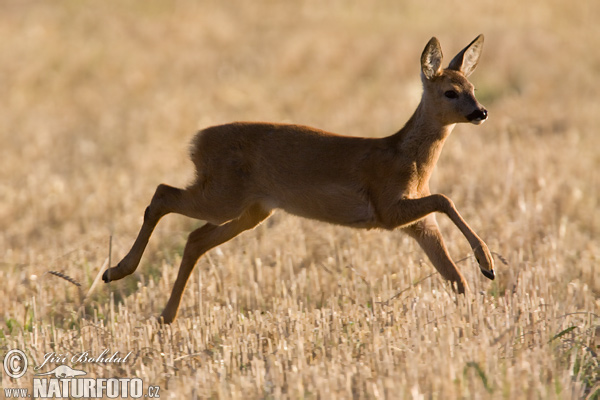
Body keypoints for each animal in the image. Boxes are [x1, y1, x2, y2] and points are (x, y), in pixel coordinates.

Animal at [104, 32, 496, 324]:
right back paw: (116, 271)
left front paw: (480, 293)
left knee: (194, 238)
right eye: (450, 92)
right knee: (162, 194)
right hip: (222, 196)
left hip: (252, 210)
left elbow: (454, 277)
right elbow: (446, 199)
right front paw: (488, 263)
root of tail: (196, 142)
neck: (407, 160)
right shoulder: (388, 208)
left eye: (473, 87)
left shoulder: (417, 224)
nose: (481, 112)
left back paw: (164, 315)